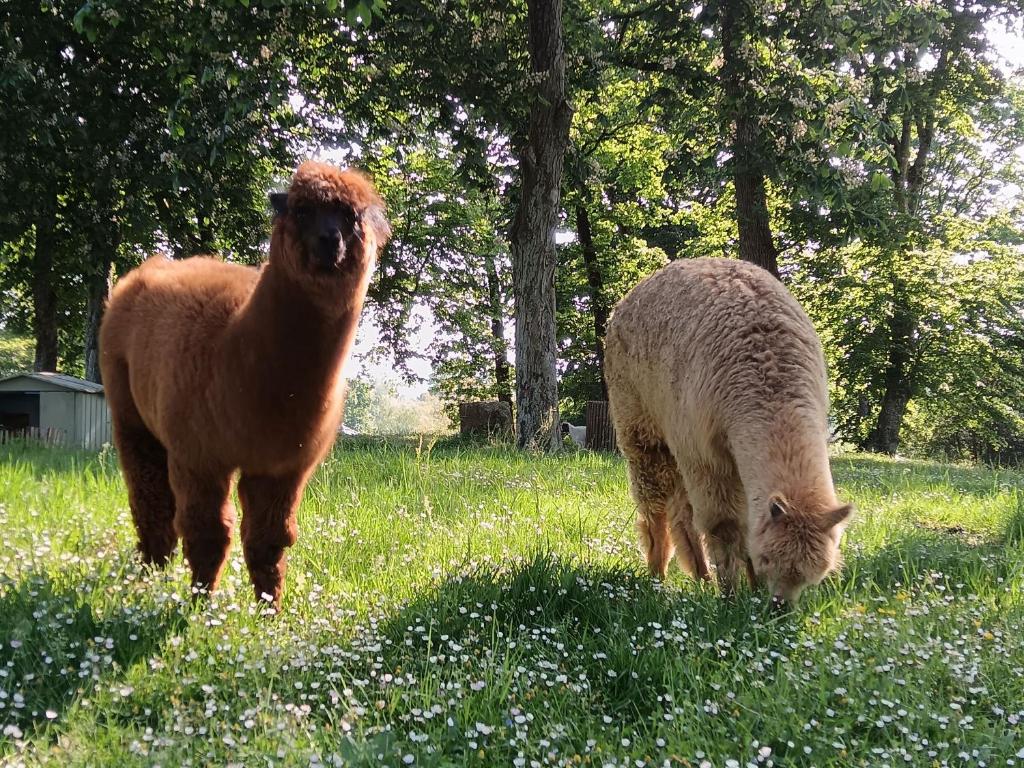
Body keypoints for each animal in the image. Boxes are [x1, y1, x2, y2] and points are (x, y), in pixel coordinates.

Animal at [99, 161, 389, 609]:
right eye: (302, 210)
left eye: (350, 216)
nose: (330, 240)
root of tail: (144, 270)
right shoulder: (198, 454)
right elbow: (208, 533)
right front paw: (200, 607)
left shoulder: (282, 466)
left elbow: (270, 540)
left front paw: (270, 610)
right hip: (129, 413)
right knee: (150, 500)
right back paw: (149, 575)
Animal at [604, 258, 852, 605]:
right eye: (768, 559)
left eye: (816, 573)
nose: (780, 606)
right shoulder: (707, 454)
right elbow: (725, 527)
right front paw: (730, 598)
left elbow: (746, 524)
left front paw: (750, 590)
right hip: (640, 423)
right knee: (655, 508)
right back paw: (657, 578)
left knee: (682, 512)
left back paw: (701, 577)